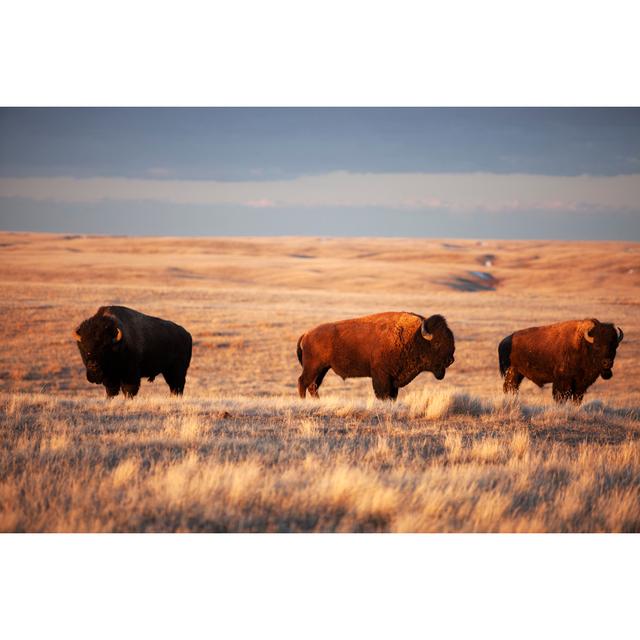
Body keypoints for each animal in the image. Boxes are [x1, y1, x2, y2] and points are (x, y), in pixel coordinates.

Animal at [296, 312, 456, 400]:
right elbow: (383, 394)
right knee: (303, 382)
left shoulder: (393, 380)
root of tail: (306, 334)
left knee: (313, 386)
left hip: (323, 369)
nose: (450, 360)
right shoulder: (381, 376)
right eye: (437, 343)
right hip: (313, 367)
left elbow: (392, 396)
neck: (414, 337)